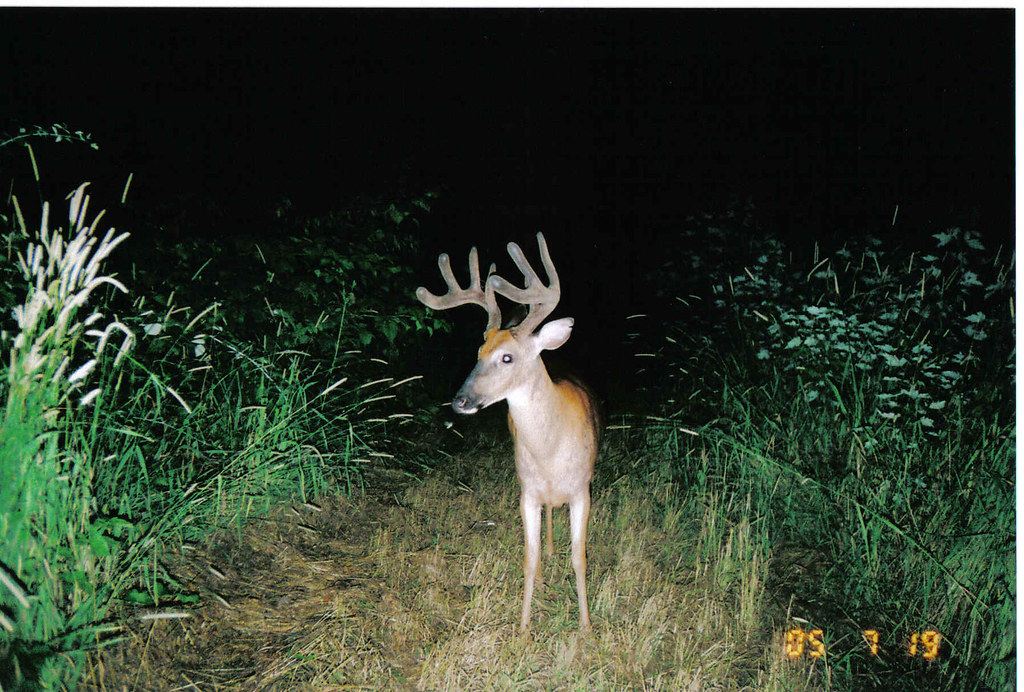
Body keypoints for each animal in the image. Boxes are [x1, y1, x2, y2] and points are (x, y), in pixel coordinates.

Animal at [416, 232, 599, 632]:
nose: (460, 400)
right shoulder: (526, 491)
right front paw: (525, 629)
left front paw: (586, 629)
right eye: (478, 350)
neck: (550, 449)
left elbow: (580, 558)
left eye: (507, 357)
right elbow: (529, 558)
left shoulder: (582, 489)